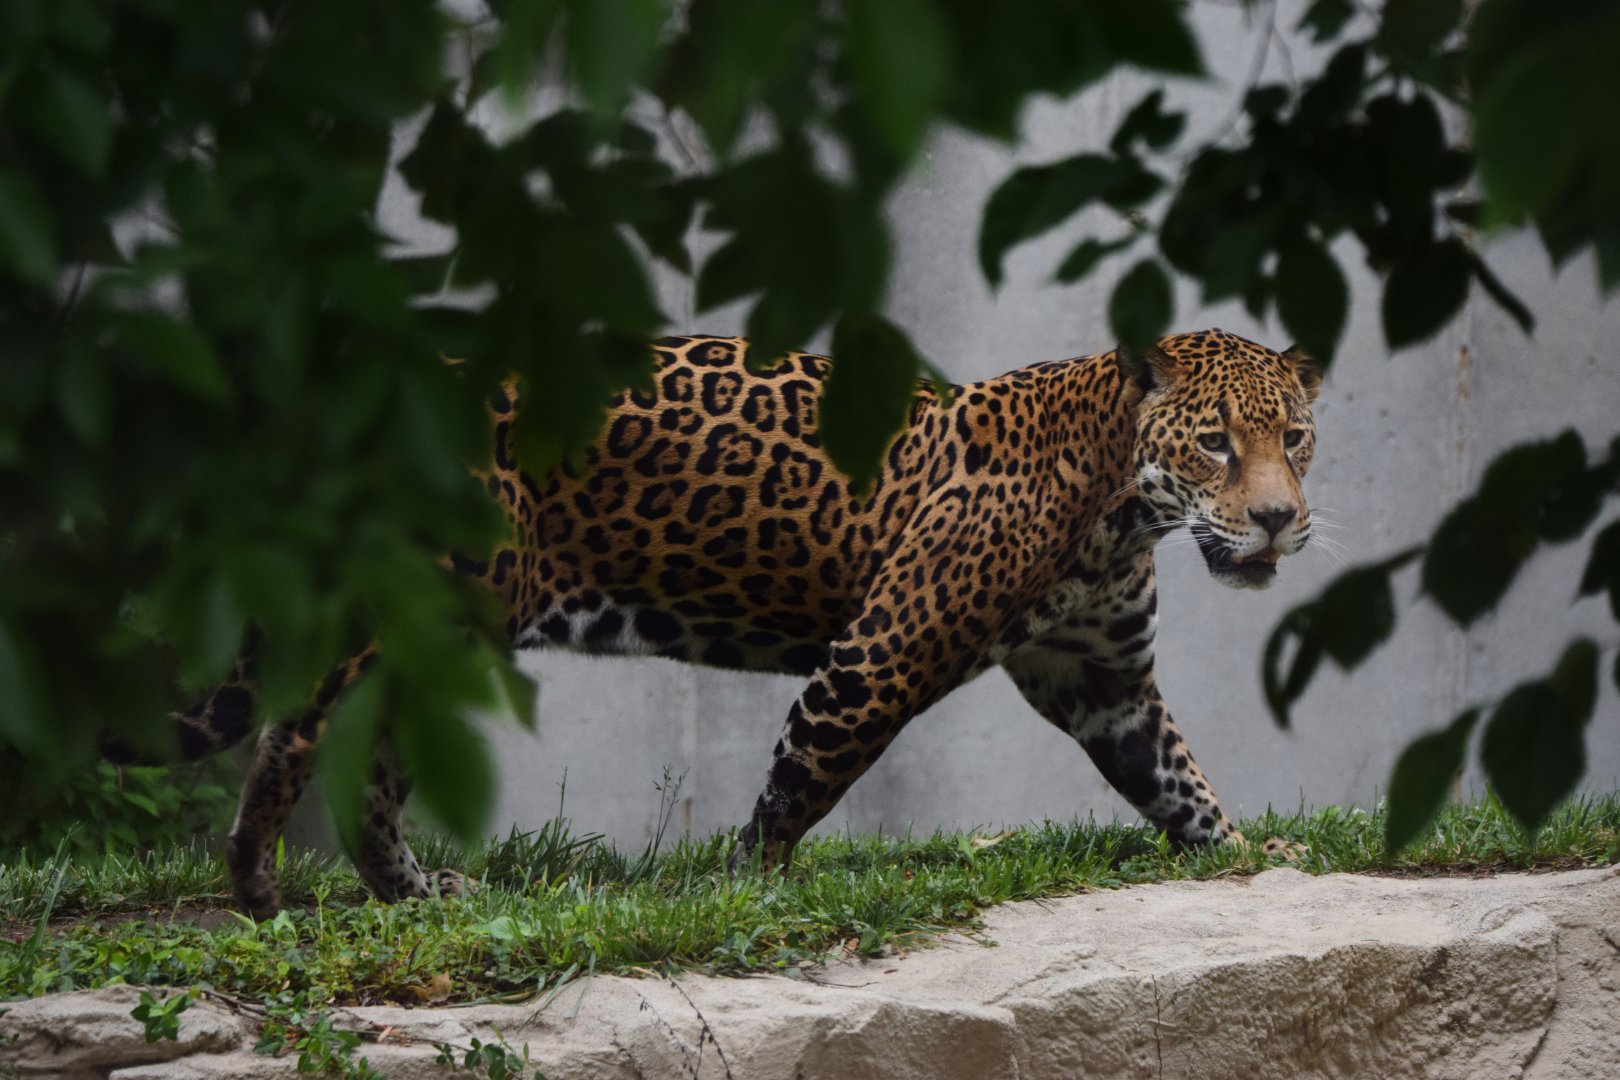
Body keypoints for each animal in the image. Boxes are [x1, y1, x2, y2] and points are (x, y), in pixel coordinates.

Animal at [160, 327, 1322, 917]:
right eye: (1216, 441)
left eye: (1297, 438)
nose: (1277, 521)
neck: (1123, 510)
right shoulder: (881, 655)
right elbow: (802, 779)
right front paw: (741, 890)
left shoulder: (1101, 680)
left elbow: (1175, 778)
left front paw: (1244, 855)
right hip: (437, 599)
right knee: (300, 728)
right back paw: (256, 884)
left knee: (372, 758)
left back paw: (408, 891)